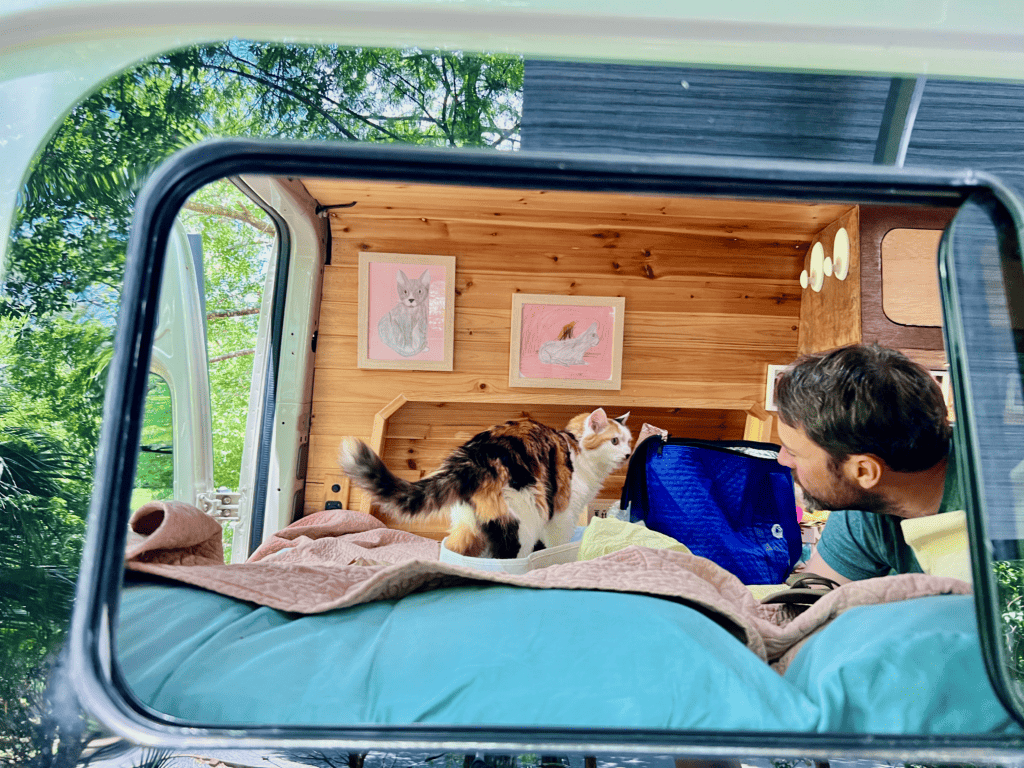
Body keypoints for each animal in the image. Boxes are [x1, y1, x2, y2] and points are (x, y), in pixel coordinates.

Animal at [342, 409, 630, 561]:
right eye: (614, 441)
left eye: (628, 440)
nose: (628, 454)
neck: (575, 447)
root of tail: (473, 457)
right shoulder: (562, 514)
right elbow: (558, 544)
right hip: (526, 517)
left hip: (468, 523)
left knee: (457, 551)